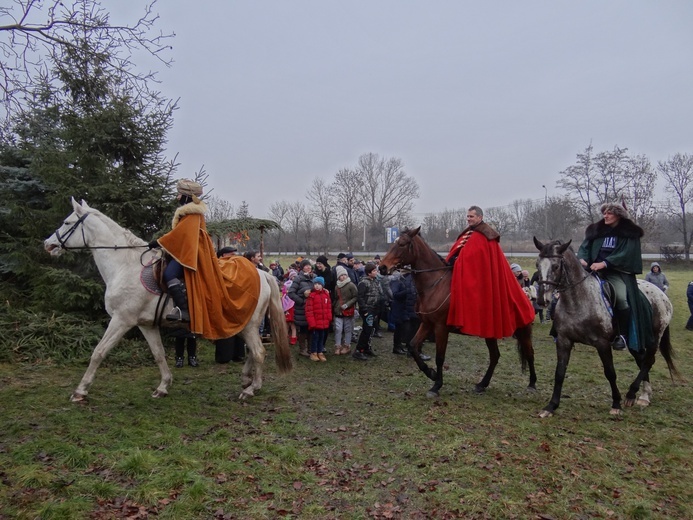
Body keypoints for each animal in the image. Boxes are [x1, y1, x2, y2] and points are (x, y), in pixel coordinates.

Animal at [43, 197, 292, 400]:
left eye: (67, 223)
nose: (48, 244)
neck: (125, 265)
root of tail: (262, 273)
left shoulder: (121, 320)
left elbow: (98, 352)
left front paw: (80, 390)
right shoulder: (145, 324)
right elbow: (159, 354)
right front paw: (163, 386)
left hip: (248, 324)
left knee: (258, 352)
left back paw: (252, 389)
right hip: (245, 324)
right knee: (253, 351)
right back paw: (246, 379)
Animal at [378, 226, 536, 398]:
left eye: (402, 244)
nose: (382, 267)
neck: (434, 285)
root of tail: (524, 293)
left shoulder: (441, 328)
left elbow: (440, 357)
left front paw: (436, 385)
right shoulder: (427, 324)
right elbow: (412, 346)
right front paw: (431, 373)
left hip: (522, 330)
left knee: (529, 353)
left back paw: (532, 384)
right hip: (491, 333)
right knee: (495, 356)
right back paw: (482, 384)